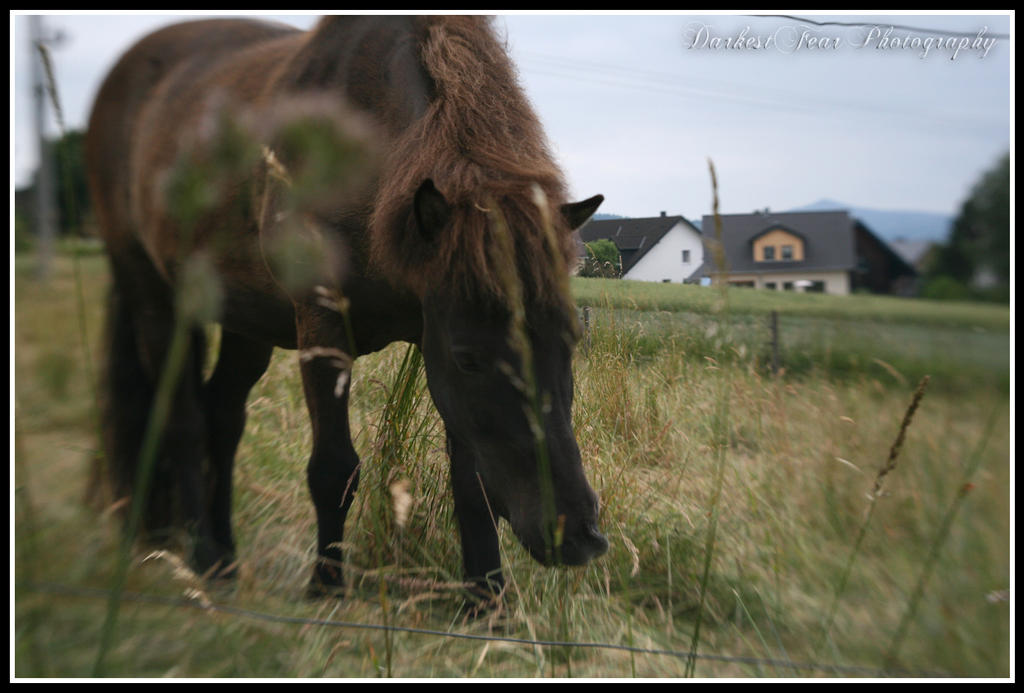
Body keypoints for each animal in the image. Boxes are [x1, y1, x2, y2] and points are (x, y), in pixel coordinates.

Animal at [86, 14, 606, 601]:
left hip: (247, 321)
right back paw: (202, 555)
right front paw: (327, 585)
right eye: (469, 357)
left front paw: (485, 599)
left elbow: (471, 483)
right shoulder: (325, 329)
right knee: (182, 421)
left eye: (571, 341)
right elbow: (336, 468)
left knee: (222, 415)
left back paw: (225, 556)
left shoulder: (432, 339)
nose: (576, 535)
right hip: (156, 298)